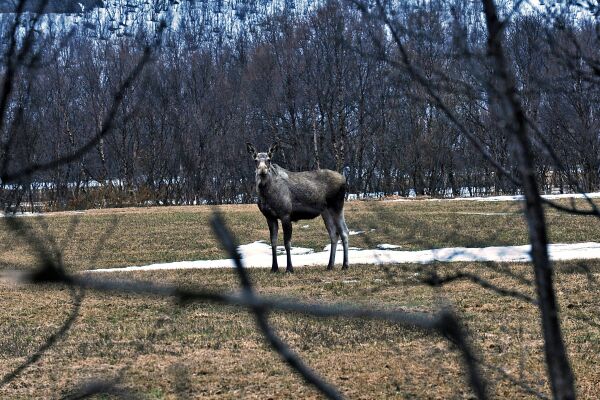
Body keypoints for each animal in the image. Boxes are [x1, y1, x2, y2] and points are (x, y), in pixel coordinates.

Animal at [245, 143, 346, 272]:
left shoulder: (285, 215)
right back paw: (330, 265)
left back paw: (345, 265)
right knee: (334, 234)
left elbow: (287, 243)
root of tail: (344, 179)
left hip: (337, 206)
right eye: (255, 160)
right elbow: (273, 242)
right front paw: (274, 268)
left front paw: (289, 268)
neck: (266, 194)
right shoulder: (269, 217)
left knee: (344, 232)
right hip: (326, 211)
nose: (262, 170)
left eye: (269, 159)